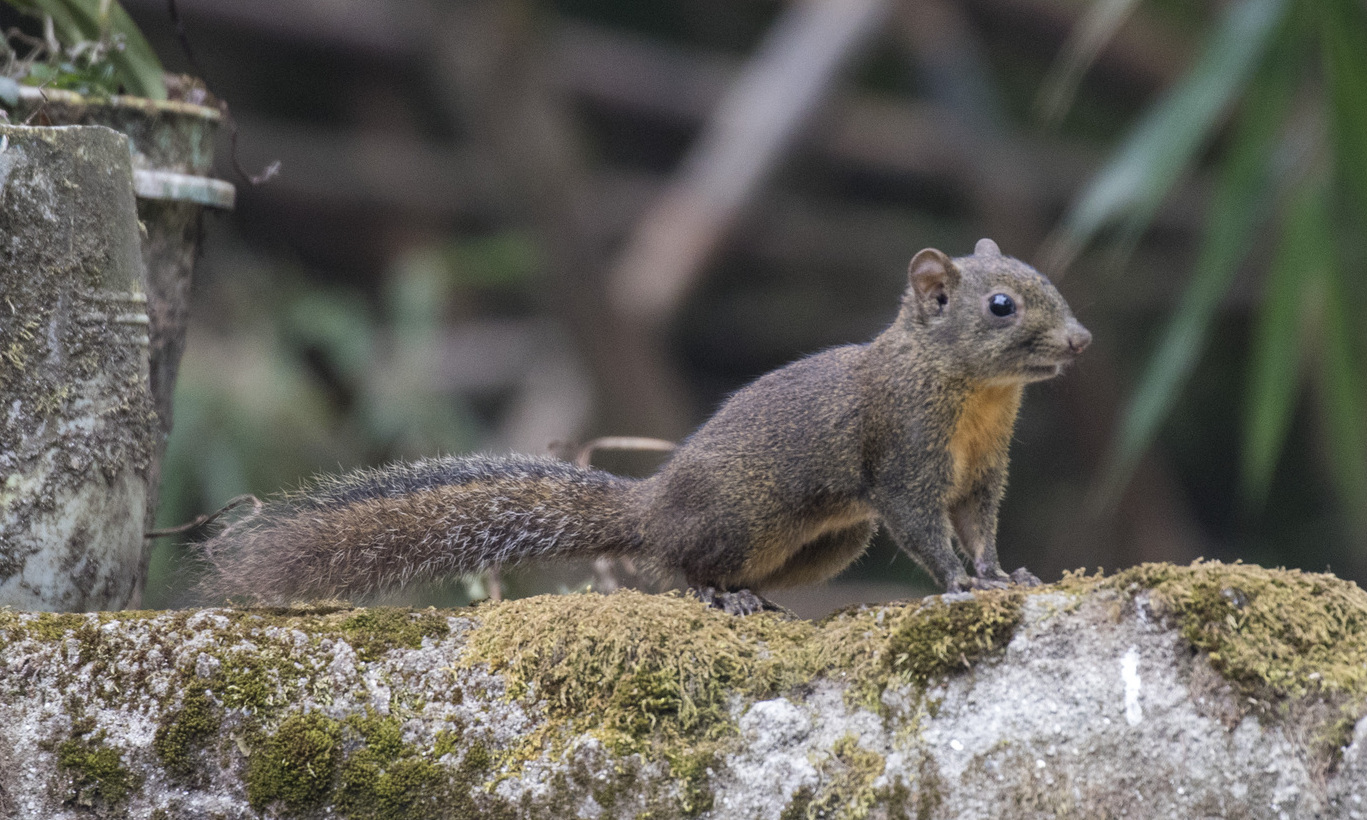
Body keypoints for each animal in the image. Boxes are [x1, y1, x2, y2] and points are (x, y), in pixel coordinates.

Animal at [198, 239, 1090, 614]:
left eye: (1044, 280)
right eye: (1000, 305)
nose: (1081, 341)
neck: (976, 398)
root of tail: (652, 504)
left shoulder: (981, 471)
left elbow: (979, 526)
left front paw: (1002, 574)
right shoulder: (904, 453)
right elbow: (925, 528)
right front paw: (959, 584)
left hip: (831, 540)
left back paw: (752, 599)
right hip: (743, 515)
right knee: (675, 566)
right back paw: (718, 598)